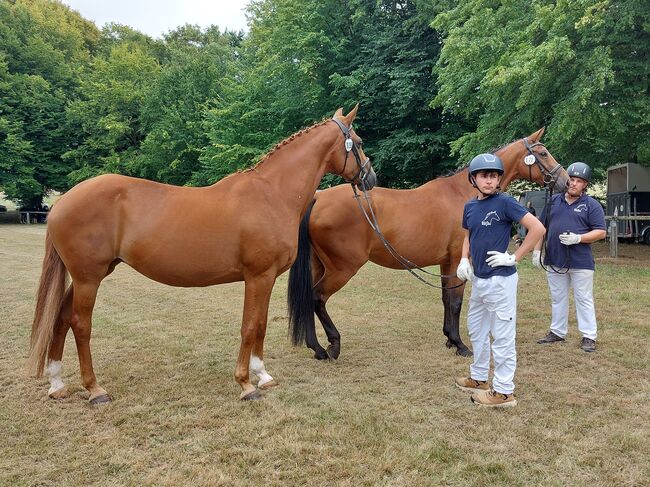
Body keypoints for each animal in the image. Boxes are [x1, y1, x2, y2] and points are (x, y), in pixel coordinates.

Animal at [28, 106, 377, 403]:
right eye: (358, 143)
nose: (370, 178)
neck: (270, 194)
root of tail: (62, 202)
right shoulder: (258, 276)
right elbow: (250, 326)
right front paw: (246, 384)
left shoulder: (266, 278)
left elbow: (261, 324)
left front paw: (263, 376)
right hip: (88, 278)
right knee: (80, 324)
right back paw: (95, 389)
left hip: (87, 275)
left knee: (60, 318)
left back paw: (57, 384)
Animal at [287, 128, 568, 359]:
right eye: (543, 153)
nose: (565, 181)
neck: (463, 195)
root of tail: (318, 197)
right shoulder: (456, 262)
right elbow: (455, 302)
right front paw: (460, 344)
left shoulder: (446, 264)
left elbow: (446, 300)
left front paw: (449, 339)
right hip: (342, 268)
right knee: (317, 298)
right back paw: (332, 345)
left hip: (320, 265)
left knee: (309, 299)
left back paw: (317, 348)